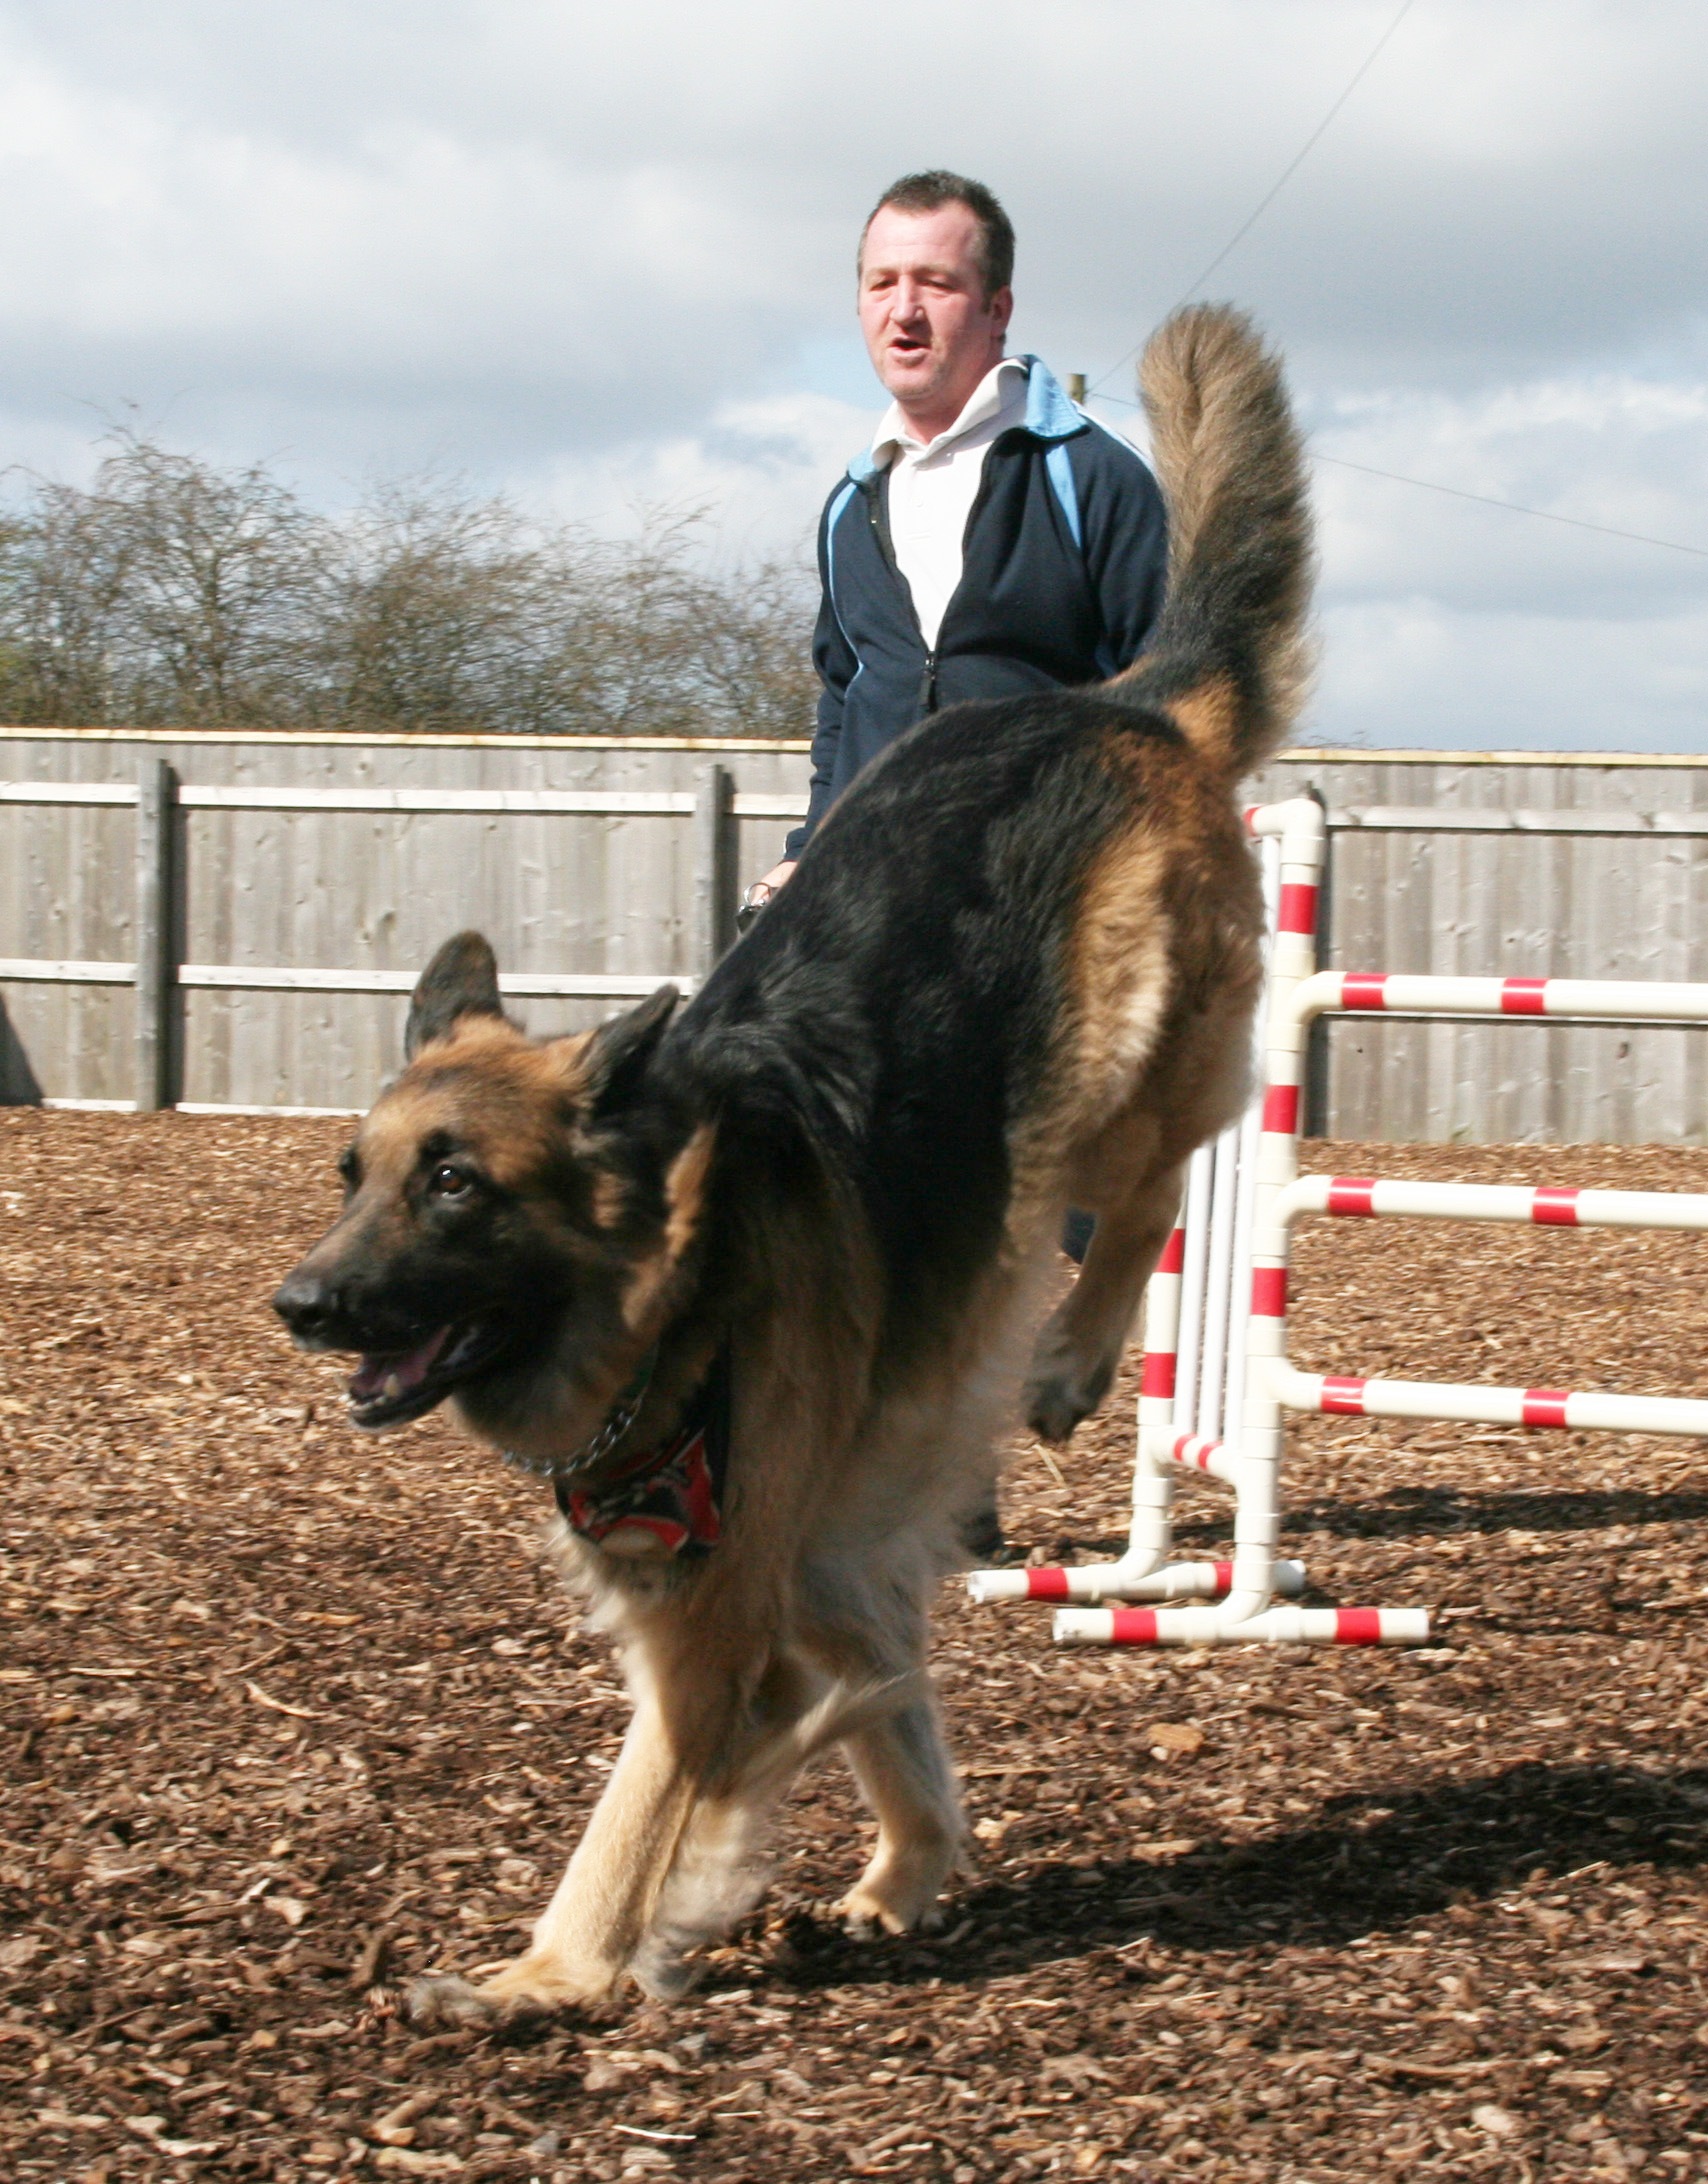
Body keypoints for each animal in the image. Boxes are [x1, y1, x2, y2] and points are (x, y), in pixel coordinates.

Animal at [274, 299, 1319, 2018]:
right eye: (352, 1178)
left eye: (457, 1185)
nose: (299, 1305)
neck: (682, 1283)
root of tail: (1124, 698)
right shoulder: (818, 1565)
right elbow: (893, 1713)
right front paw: (900, 1875)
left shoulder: (713, 1629)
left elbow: (634, 1817)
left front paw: (549, 1975)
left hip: (1112, 1063)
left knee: (1157, 1179)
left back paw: (1072, 1358)